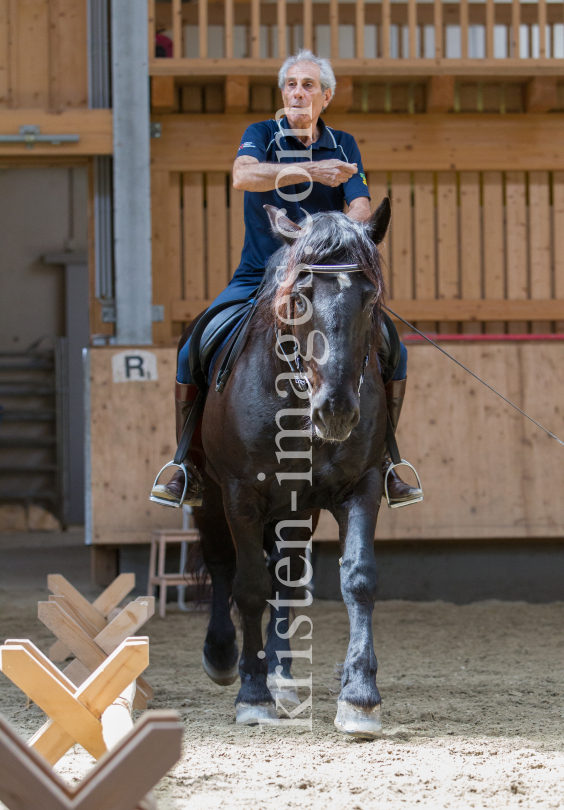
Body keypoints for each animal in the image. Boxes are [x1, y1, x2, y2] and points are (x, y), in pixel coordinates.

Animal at [192, 199, 390, 736]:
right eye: (300, 297)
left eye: (370, 297)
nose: (336, 410)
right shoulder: (240, 493)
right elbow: (248, 587)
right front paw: (252, 695)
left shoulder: (360, 486)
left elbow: (358, 578)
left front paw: (360, 697)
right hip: (210, 497)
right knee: (221, 562)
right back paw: (223, 657)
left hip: (297, 510)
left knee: (289, 576)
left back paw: (283, 678)